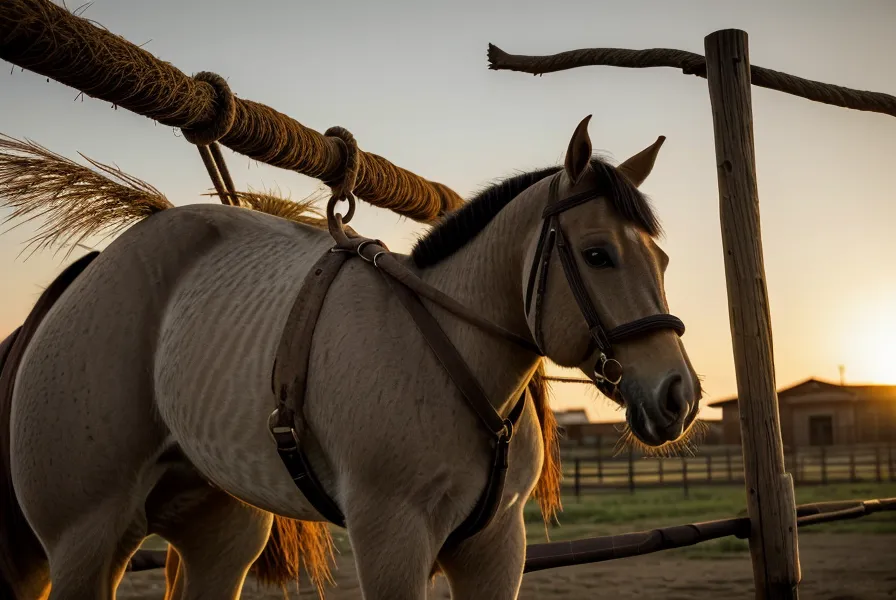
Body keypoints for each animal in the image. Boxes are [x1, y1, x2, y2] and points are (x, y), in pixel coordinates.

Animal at [1, 115, 701, 599]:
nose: (680, 395)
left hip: (219, 537)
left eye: (663, 260)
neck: (451, 359)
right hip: (83, 541)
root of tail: (93, 272)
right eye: (598, 254)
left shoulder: (496, 547)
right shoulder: (392, 537)